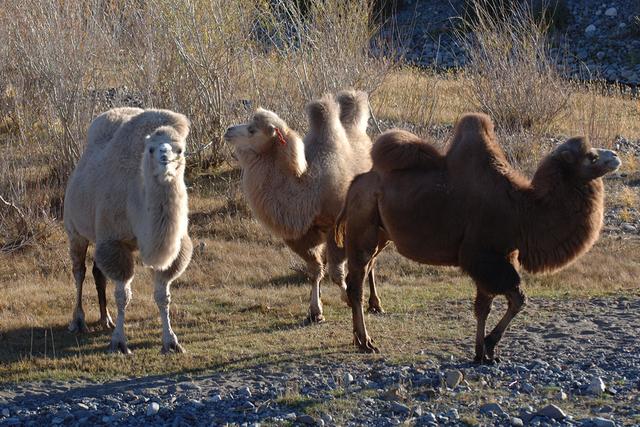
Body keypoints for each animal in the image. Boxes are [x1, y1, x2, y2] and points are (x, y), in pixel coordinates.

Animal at [62, 108, 194, 354]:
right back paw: (78, 321)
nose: (165, 158)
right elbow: (123, 294)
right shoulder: (114, 242)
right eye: (150, 148)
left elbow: (163, 295)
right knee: (79, 271)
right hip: (75, 230)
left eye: (180, 149)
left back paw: (106, 319)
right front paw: (119, 343)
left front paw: (171, 342)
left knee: (97, 272)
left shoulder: (174, 248)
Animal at [224, 92, 380, 322]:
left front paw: (347, 298)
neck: (308, 187)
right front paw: (315, 311)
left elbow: (336, 272)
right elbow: (315, 270)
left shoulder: (336, 227)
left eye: (253, 130)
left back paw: (375, 303)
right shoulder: (302, 235)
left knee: (371, 260)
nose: (228, 130)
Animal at [336, 112, 620, 362]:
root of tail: (357, 182)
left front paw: (482, 353)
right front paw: (489, 346)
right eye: (592, 156)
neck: (522, 210)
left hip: (381, 235)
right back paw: (366, 342)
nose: (615, 156)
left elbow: (486, 305)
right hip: (363, 227)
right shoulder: (483, 255)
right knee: (356, 282)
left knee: (360, 275)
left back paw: (358, 338)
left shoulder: (501, 255)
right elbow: (517, 299)